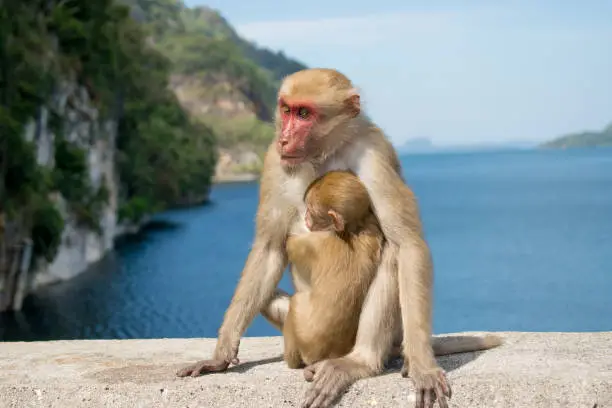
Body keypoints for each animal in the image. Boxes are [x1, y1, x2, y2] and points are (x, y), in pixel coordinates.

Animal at [282, 171, 382, 368]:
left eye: (311, 211)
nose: (306, 218)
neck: (349, 232)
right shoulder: (372, 227)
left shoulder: (312, 242)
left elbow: (292, 245)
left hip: (303, 334)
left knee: (297, 300)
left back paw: (291, 360)